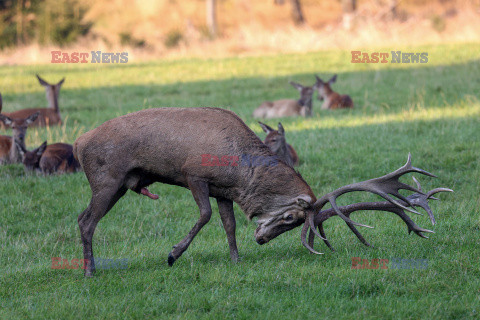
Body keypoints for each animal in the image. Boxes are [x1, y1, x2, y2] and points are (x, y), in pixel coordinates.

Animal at [73, 106, 452, 276]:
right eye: (290, 217)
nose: (262, 239)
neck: (238, 173)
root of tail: (79, 143)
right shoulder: (193, 173)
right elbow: (205, 215)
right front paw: (173, 254)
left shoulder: (222, 190)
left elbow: (227, 224)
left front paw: (236, 259)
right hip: (107, 179)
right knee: (86, 220)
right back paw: (90, 271)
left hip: (121, 185)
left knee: (81, 217)